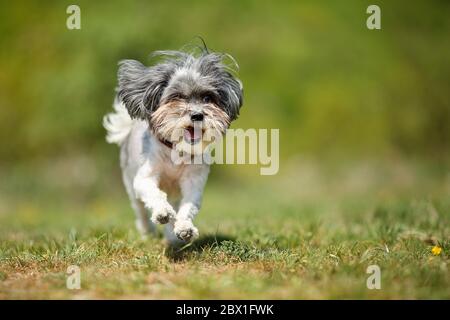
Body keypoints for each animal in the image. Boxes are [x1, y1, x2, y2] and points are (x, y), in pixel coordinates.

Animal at [102, 46, 243, 244]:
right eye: (177, 97)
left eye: (207, 98)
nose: (197, 115)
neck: (177, 151)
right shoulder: (145, 178)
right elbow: (155, 194)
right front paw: (162, 212)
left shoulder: (193, 182)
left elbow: (187, 207)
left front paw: (184, 228)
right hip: (131, 185)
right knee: (141, 211)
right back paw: (148, 232)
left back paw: (172, 237)